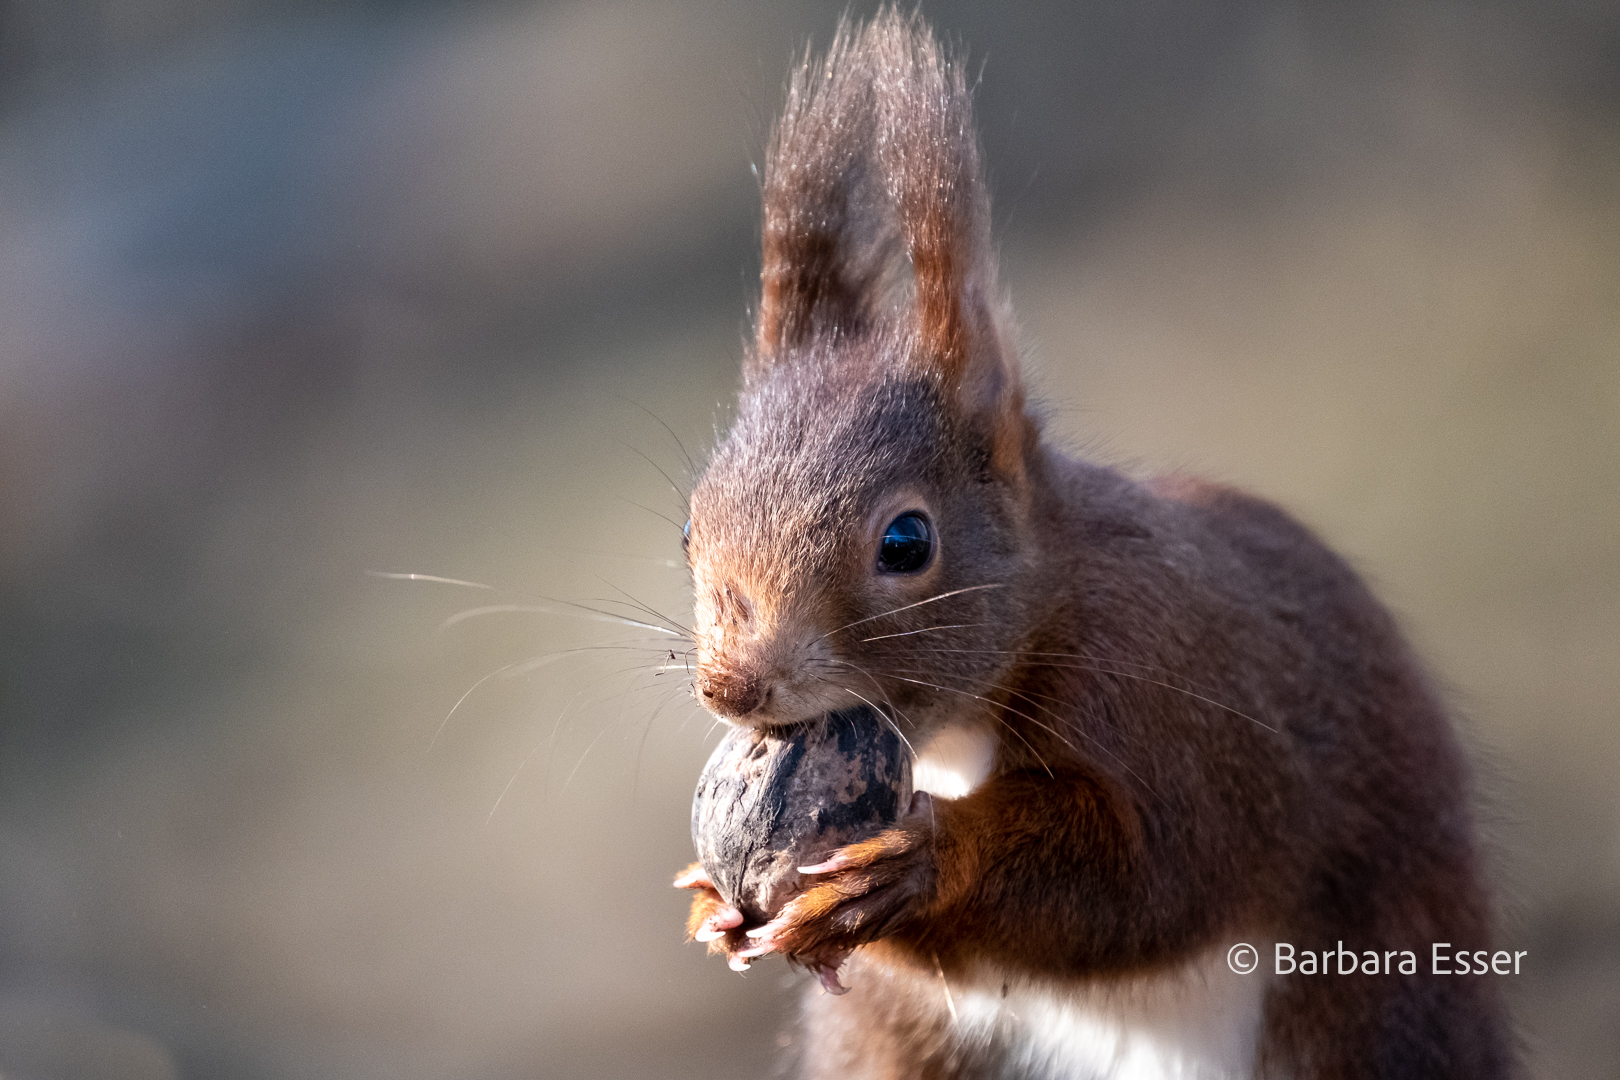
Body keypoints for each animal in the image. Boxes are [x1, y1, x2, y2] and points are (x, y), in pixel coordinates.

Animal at [670, 10, 1516, 1080]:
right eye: (688, 528)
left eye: (906, 540)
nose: (731, 687)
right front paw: (713, 897)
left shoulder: (1176, 695)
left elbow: (1146, 873)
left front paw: (913, 865)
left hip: (1373, 1006)